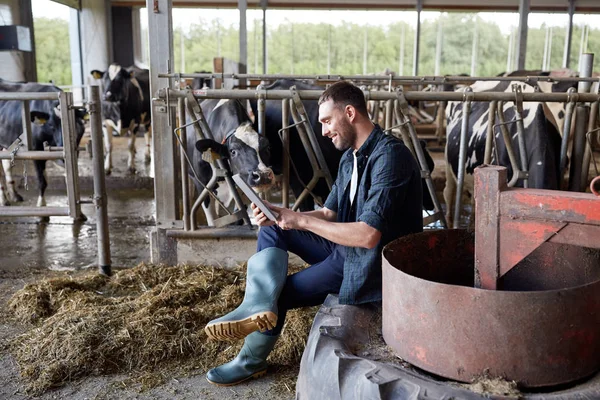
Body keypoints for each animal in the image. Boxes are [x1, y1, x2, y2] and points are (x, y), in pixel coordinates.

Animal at [0, 80, 85, 208]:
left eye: (75, 125)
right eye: (51, 125)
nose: (62, 147)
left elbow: (70, 176)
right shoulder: (35, 152)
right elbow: (42, 181)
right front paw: (41, 205)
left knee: (6, 165)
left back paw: (14, 195)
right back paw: (4, 200)